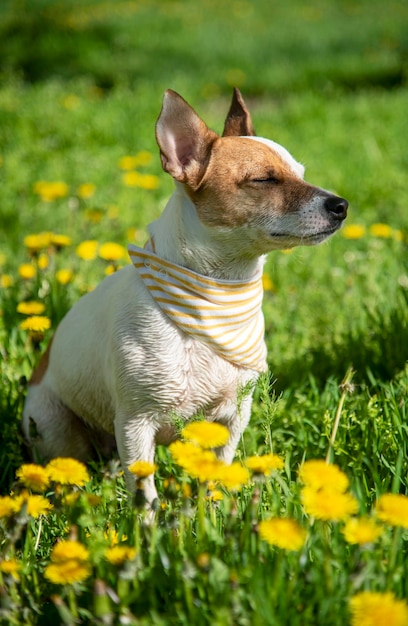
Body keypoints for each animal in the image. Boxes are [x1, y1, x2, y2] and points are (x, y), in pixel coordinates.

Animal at [22, 88, 348, 504]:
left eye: (302, 174)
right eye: (264, 179)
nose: (341, 205)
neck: (212, 297)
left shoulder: (232, 417)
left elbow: (215, 474)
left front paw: (211, 509)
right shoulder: (135, 423)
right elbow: (146, 496)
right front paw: (147, 522)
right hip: (55, 427)